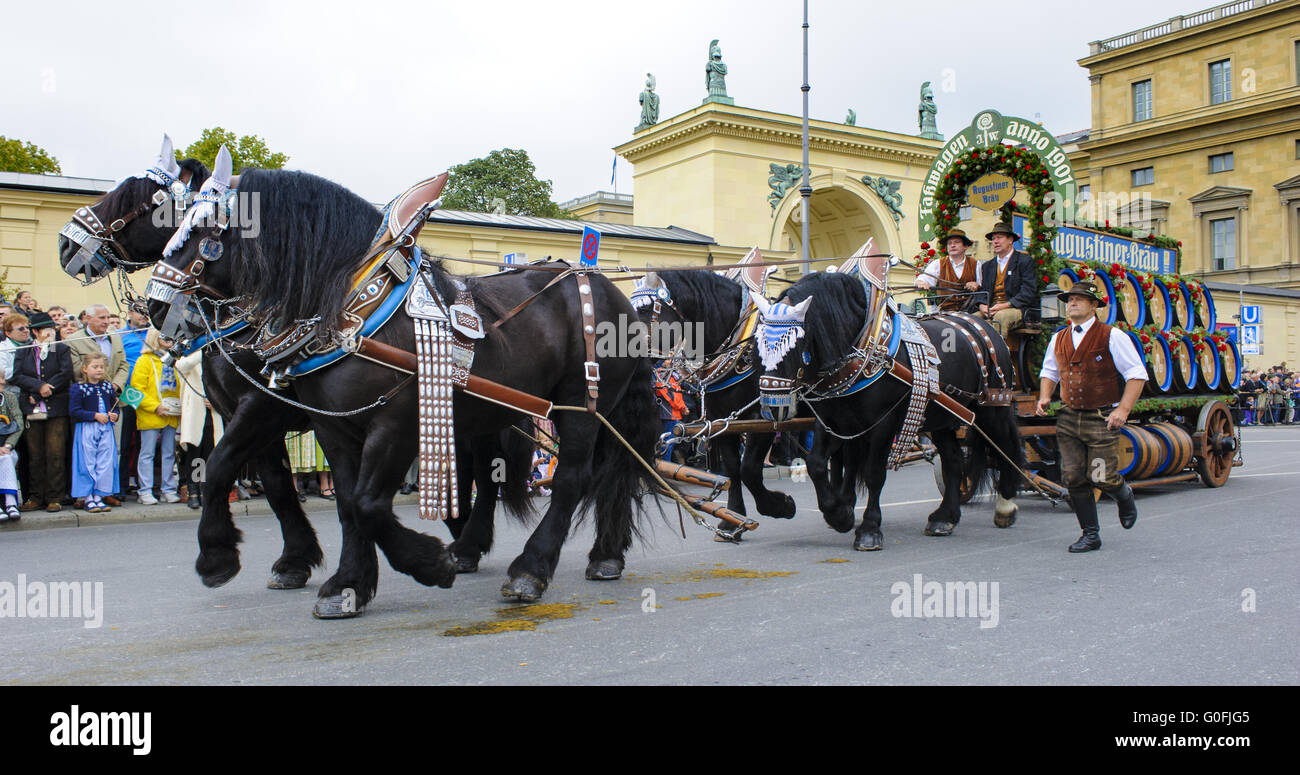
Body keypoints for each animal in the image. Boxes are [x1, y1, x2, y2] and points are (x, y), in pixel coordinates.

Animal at [154, 166, 660, 613]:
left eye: (206, 228)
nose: (159, 308)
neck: (356, 306)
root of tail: (606, 287)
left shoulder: (385, 423)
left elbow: (366, 503)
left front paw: (427, 563)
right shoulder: (327, 426)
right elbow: (338, 502)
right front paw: (346, 584)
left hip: (580, 405)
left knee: (573, 478)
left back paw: (529, 570)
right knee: (538, 477)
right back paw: (595, 554)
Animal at [754, 273, 1024, 551]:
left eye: (793, 344)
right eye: (758, 342)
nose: (771, 407)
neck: (863, 351)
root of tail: (985, 327)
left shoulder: (882, 424)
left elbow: (873, 473)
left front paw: (869, 529)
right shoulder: (833, 423)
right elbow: (817, 464)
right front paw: (839, 515)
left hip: (992, 410)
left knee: (1007, 450)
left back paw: (1005, 505)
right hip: (942, 419)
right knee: (953, 460)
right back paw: (945, 517)